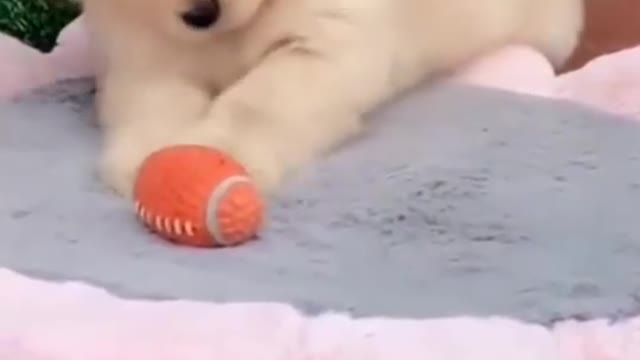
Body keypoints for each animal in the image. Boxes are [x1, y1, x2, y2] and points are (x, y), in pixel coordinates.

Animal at [80, 0, 584, 198]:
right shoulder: (141, 45)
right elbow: (151, 95)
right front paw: (147, 161)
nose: (202, 13)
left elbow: (264, 98)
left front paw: (217, 154)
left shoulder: (327, 39)